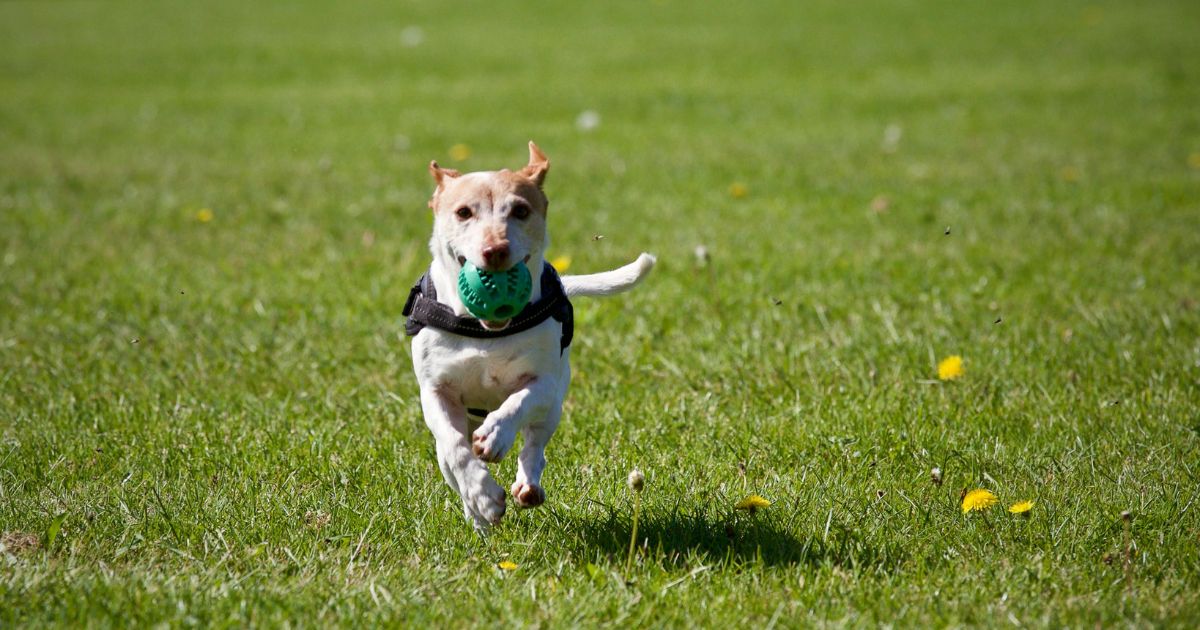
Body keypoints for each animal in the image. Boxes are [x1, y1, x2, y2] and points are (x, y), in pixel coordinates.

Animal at [410, 142, 657, 530]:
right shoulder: (435, 391)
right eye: (463, 212)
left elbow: (518, 403)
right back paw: (478, 516)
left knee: (535, 445)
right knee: (451, 461)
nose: (495, 250)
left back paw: (527, 484)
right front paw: (483, 496)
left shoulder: (544, 382)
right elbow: (455, 448)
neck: (484, 332)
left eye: (521, 210)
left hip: (553, 408)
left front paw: (495, 436)